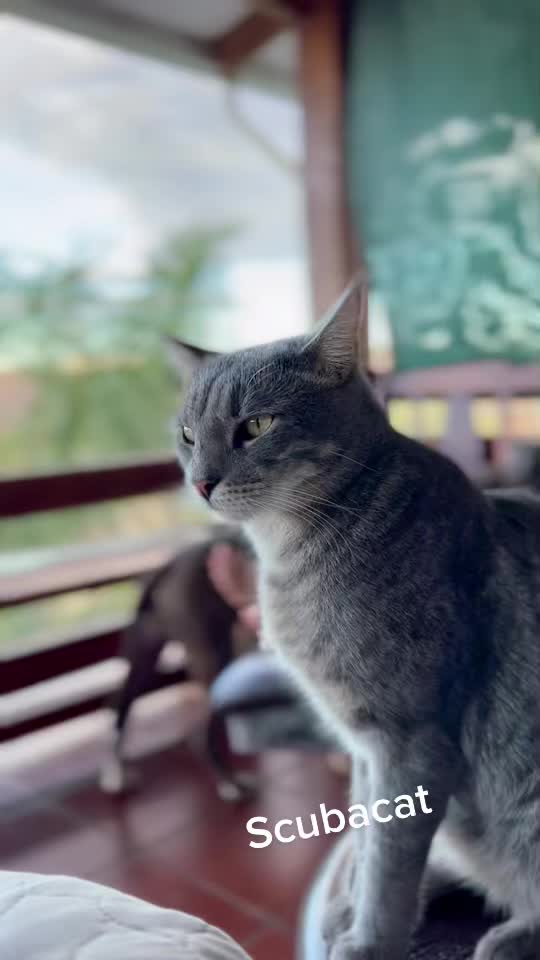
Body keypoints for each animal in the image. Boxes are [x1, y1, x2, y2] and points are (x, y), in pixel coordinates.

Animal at [169, 276, 540, 960]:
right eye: (186, 434)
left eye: (255, 425)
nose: (201, 481)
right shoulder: (364, 743)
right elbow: (369, 836)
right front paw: (348, 910)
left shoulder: (408, 741)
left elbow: (389, 863)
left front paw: (369, 940)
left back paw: (509, 935)